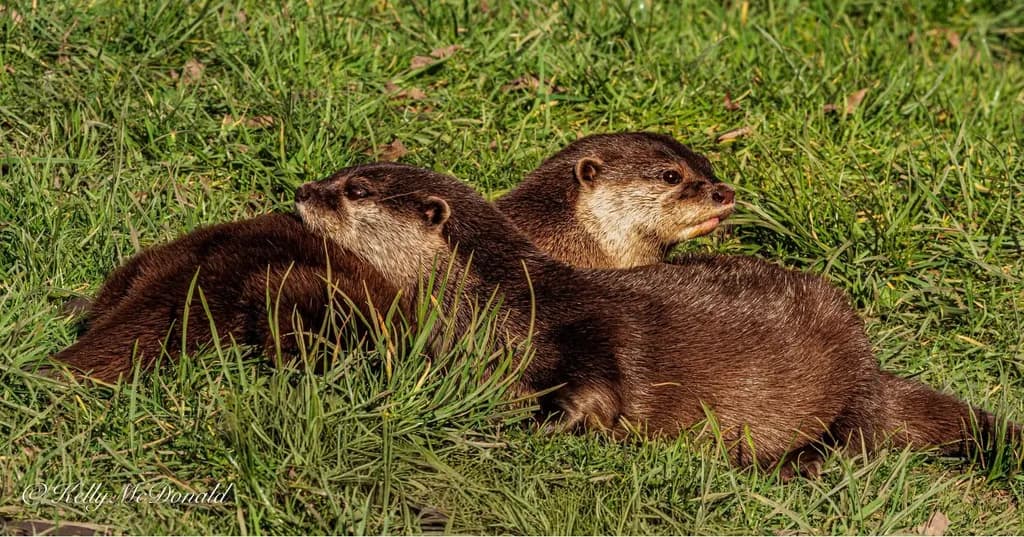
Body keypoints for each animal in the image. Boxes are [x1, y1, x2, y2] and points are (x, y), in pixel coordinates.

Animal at [295, 162, 1018, 477]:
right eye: (344, 168)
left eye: (354, 191)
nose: (303, 190)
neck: (498, 304)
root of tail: (872, 363)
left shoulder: (580, 331)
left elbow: (595, 395)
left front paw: (522, 432)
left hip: (846, 390)